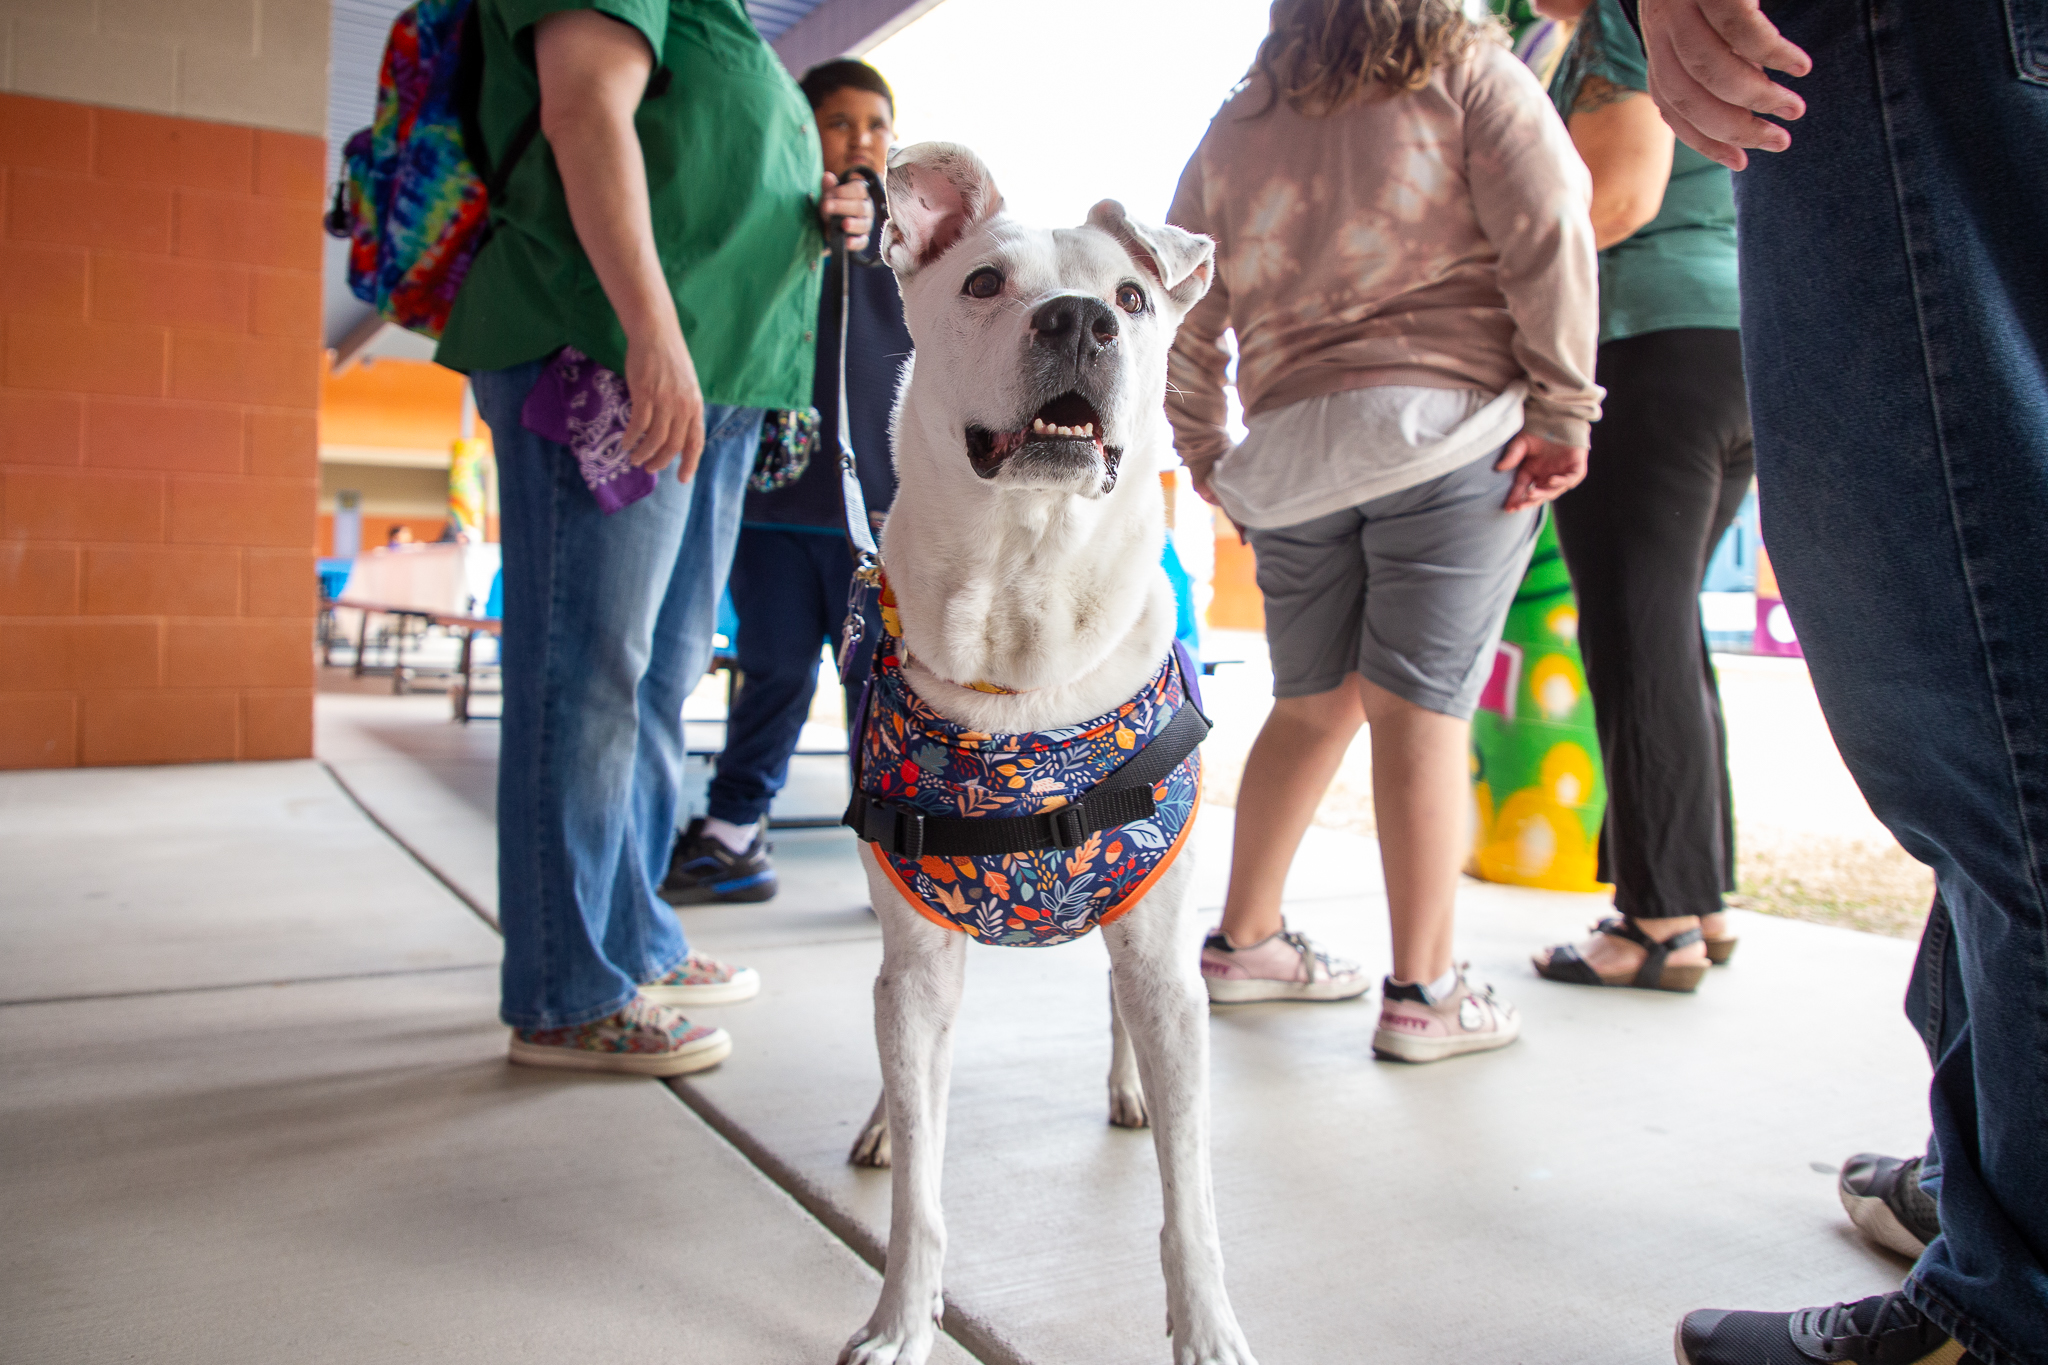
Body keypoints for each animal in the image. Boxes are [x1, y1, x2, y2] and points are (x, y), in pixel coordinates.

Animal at [827, 141, 1245, 1365]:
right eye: (981, 283)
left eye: (1135, 299)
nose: (1077, 321)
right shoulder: (919, 961)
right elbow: (920, 1187)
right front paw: (900, 1321)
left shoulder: (1163, 953)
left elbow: (1189, 1200)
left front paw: (1208, 1329)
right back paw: (884, 1120)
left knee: (1119, 998)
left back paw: (1132, 1089)